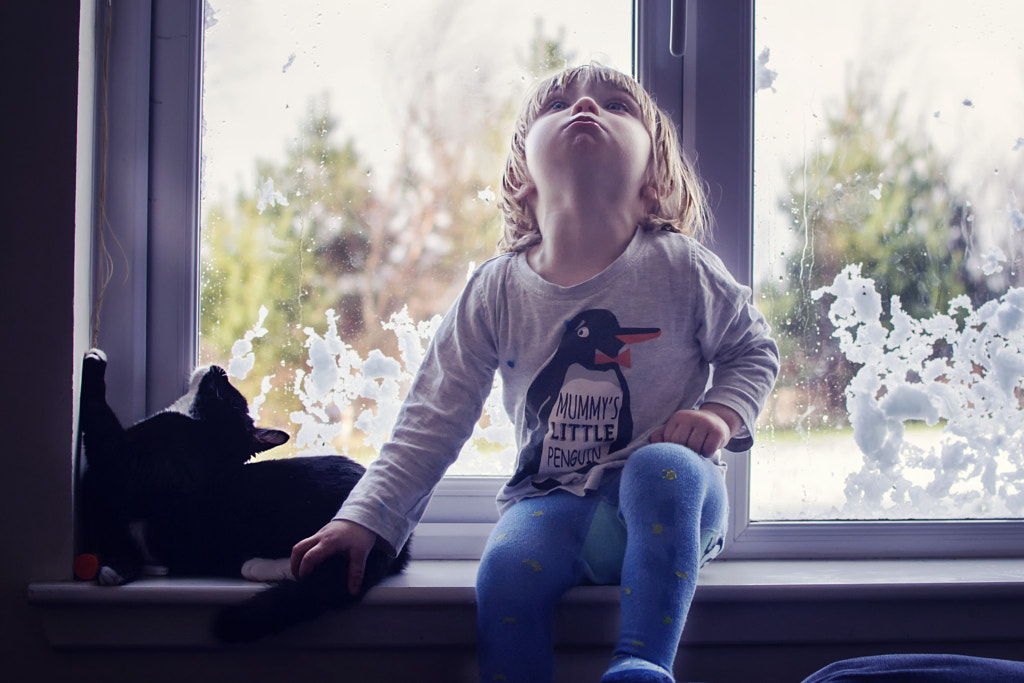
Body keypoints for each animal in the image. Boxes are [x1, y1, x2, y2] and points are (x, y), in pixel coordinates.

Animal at [77, 350, 409, 643]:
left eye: (226, 391)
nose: (220, 370)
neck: (203, 438)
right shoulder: (100, 499)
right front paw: (117, 567)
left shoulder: (118, 462)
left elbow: (99, 421)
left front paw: (94, 361)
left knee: (326, 573)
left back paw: (258, 566)